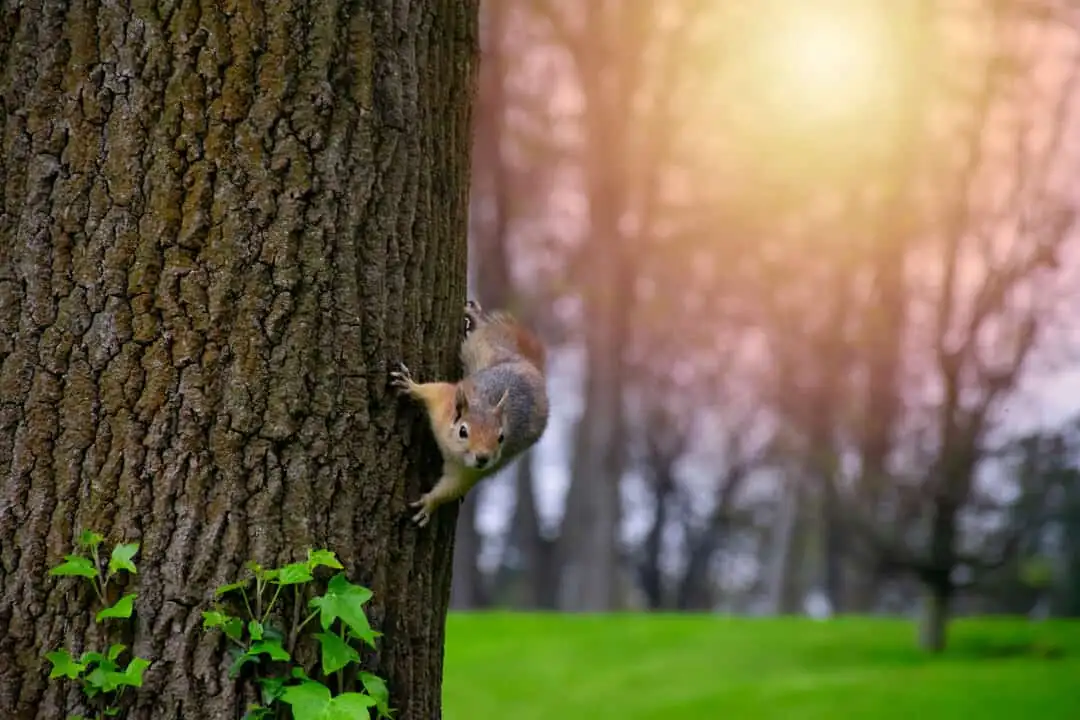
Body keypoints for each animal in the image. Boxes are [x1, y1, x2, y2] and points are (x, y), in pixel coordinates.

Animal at [391, 300, 550, 527]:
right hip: (483, 345)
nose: (483, 458)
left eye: (501, 437)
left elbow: (451, 488)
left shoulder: (468, 472)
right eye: (463, 431)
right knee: (482, 331)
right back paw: (475, 317)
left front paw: (429, 504)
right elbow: (431, 390)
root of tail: (529, 367)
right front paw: (410, 385)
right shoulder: (444, 402)